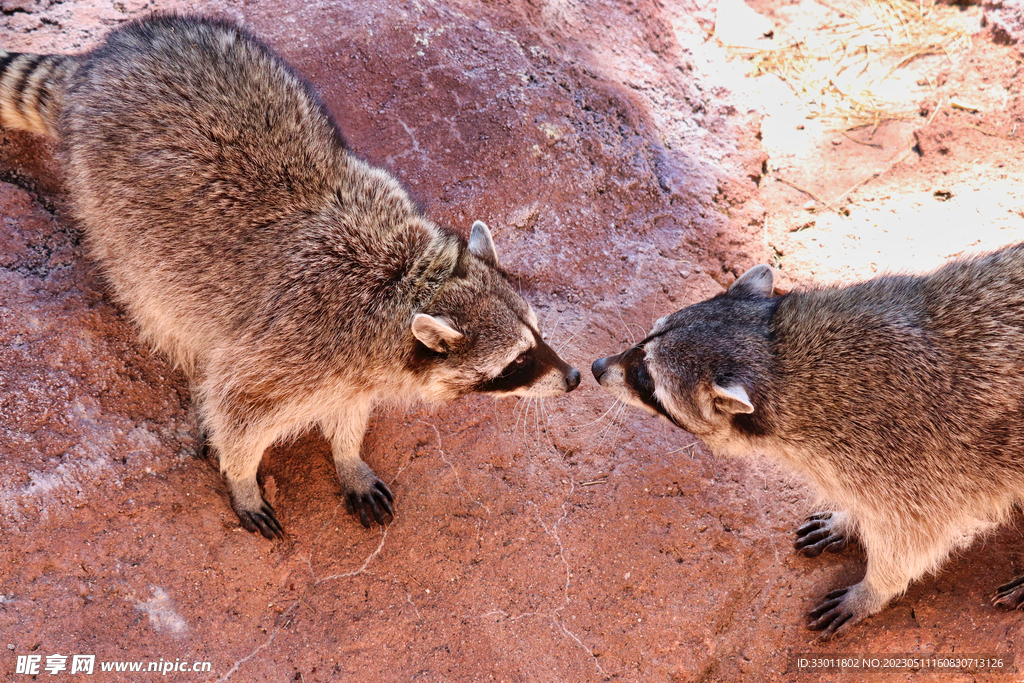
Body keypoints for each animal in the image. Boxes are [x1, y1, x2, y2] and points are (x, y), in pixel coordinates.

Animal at [0, 14, 581, 540]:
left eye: (537, 334)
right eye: (516, 363)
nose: (574, 377)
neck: (411, 282)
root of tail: (94, 67)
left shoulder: (354, 366)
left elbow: (348, 408)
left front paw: (347, 453)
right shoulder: (294, 349)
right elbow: (240, 409)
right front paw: (241, 478)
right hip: (112, 221)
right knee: (162, 313)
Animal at [593, 246, 1024, 643]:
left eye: (646, 379)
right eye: (646, 336)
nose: (597, 368)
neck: (780, 357)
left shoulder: (912, 456)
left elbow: (913, 535)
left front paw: (872, 590)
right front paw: (850, 519)